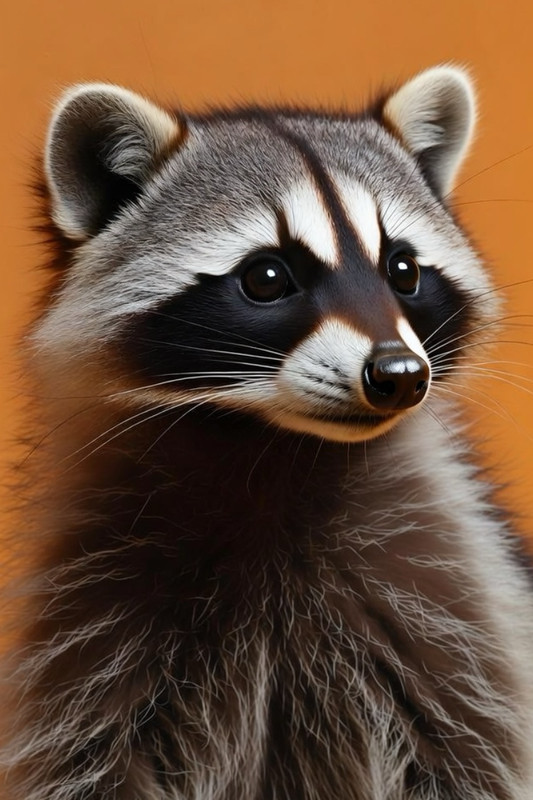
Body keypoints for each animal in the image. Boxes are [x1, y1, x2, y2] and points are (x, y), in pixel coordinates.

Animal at [2, 66, 533, 800]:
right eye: (267, 276)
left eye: (402, 270)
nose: (398, 374)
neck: (275, 445)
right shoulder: (86, 631)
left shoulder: (461, 608)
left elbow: (476, 750)